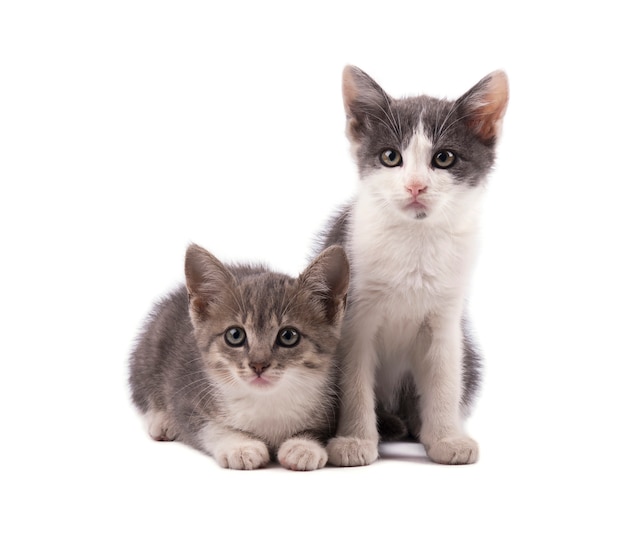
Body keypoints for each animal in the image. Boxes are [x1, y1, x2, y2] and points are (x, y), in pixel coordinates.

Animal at [129, 245, 348, 472]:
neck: (266, 401)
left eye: (288, 336)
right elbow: (206, 427)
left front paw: (303, 447)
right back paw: (163, 420)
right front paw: (240, 446)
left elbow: (322, 430)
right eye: (235, 335)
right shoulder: (185, 395)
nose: (258, 364)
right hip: (151, 348)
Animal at [316, 65, 508, 466]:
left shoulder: (447, 319)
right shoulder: (354, 317)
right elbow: (354, 379)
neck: (415, 239)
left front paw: (447, 437)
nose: (416, 186)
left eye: (444, 158)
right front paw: (355, 440)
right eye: (391, 157)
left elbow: (445, 377)